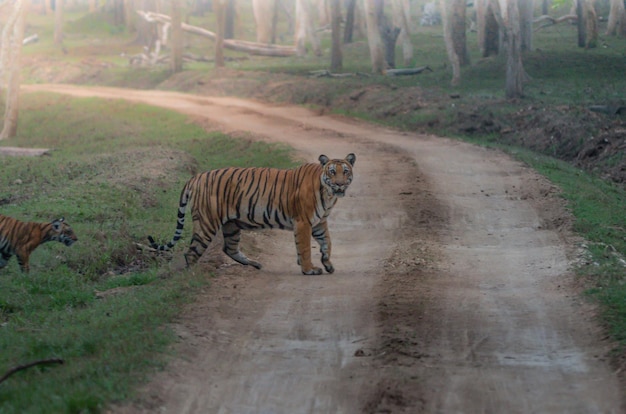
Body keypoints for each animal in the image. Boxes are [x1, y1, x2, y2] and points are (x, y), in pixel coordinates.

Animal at [144, 153, 354, 274]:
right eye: (332, 172)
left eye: (345, 172)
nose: (340, 184)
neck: (328, 194)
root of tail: (196, 176)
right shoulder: (304, 222)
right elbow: (304, 247)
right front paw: (309, 269)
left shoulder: (319, 223)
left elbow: (327, 243)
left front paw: (328, 264)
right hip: (206, 223)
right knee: (191, 253)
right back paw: (191, 275)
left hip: (231, 225)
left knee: (229, 248)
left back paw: (255, 264)